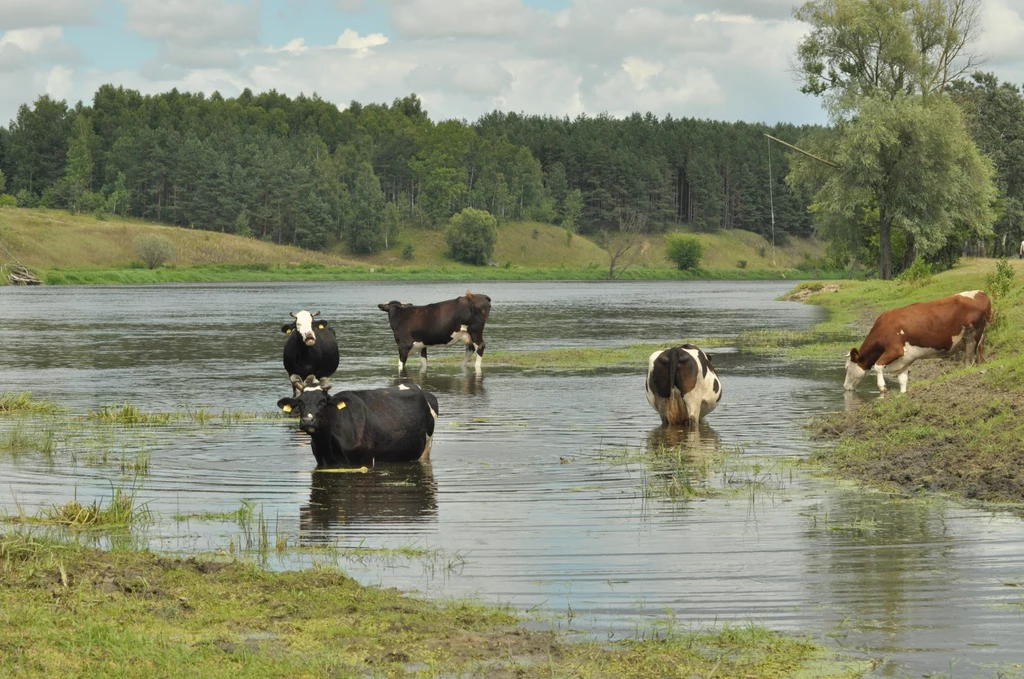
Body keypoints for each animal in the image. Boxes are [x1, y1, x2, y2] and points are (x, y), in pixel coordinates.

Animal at [278, 376, 438, 467]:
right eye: (300, 402)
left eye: (323, 401)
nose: (308, 420)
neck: (327, 445)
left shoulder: (363, 459)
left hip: (427, 448)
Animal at [839, 290, 991, 393]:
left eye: (846, 368)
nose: (845, 387)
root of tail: (981, 293)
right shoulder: (905, 359)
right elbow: (902, 380)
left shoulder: (895, 350)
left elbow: (877, 366)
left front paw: (882, 387)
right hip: (980, 340)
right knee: (980, 359)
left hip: (972, 336)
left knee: (969, 360)